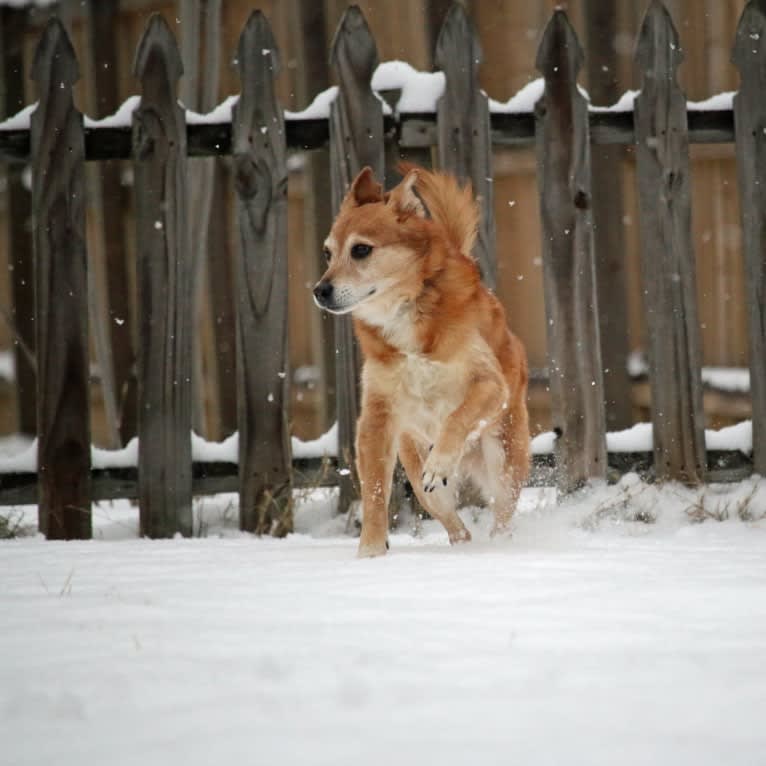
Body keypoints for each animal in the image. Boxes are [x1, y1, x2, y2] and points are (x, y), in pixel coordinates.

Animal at [312, 164, 528, 560]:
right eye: (327, 253)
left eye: (361, 250)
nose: (320, 291)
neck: (405, 309)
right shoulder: (377, 417)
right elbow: (374, 491)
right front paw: (370, 552)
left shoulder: (489, 384)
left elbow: (457, 417)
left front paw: (441, 459)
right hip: (419, 474)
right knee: (456, 526)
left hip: (504, 458)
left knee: (502, 515)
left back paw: (499, 545)